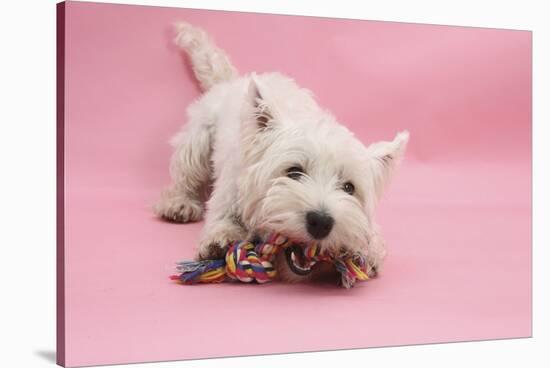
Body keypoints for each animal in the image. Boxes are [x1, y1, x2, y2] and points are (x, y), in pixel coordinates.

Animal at [155, 22, 410, 282]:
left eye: (349, 187)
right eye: (294, 172)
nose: (321, 222)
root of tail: (233, 81)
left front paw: (364, 250)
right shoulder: (228, 192)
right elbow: (221, 218)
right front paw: (221, 240)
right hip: (197, 141)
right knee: (185, 176)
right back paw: (180, 204)